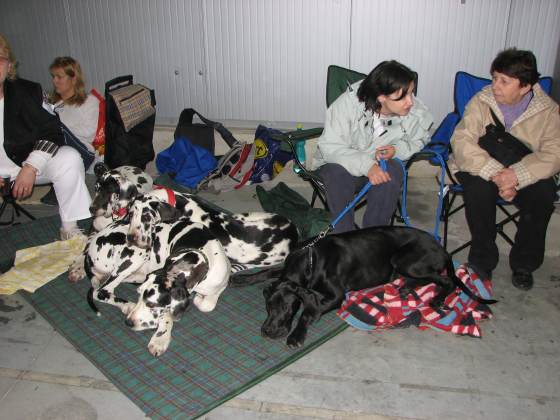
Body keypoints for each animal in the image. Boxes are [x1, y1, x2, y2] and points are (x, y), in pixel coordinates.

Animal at [261, 226, 497, 348]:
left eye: (287, 308)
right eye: (268, 307)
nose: (266, 331)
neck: (310, 259)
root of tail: (442, 248)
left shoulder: (337, 295)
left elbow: (309, 311)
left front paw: (296, 335)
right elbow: (266, 273)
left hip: (404, 259)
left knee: (446, 280)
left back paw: (436, 298)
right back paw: (406, 287)